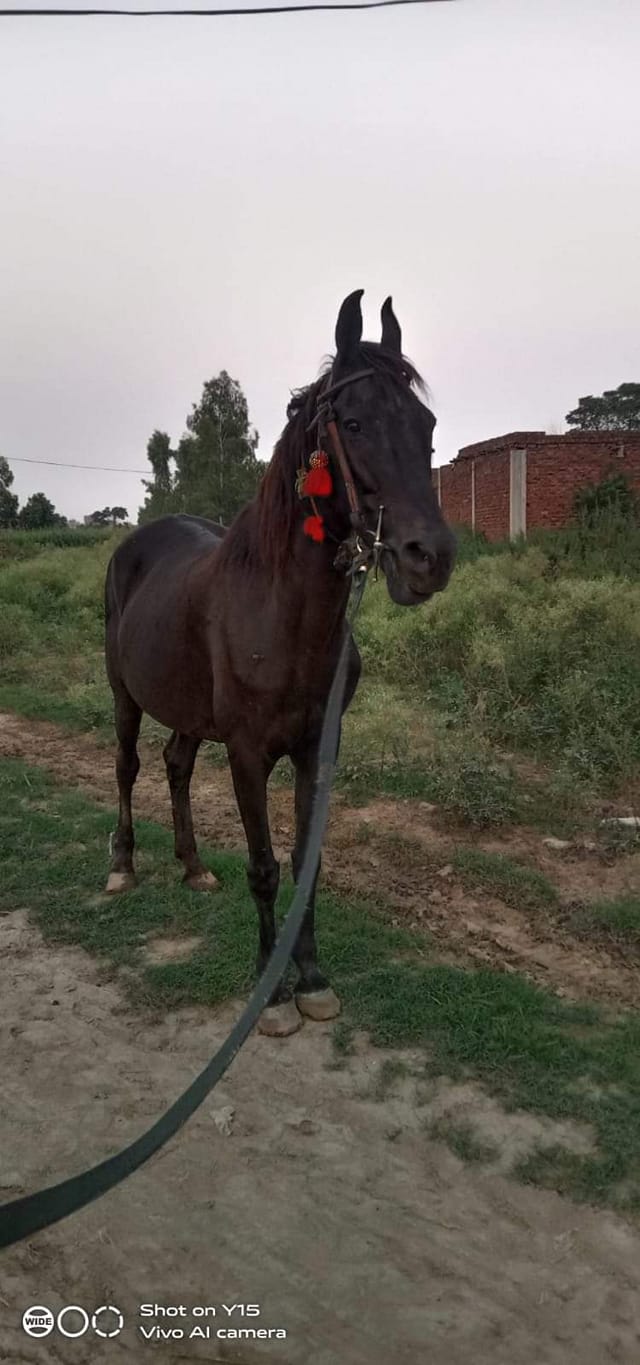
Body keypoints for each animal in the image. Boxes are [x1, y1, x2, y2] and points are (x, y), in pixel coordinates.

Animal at [104, 290, 456, 1036]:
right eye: (353, 421)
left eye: (427, 423)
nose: (429, 558)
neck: (286, 615)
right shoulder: (247, 752)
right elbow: (264, 866)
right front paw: (270, 990)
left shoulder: (316, 749)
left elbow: (303, 864)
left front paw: (312, 977)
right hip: (124, 693)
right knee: (128, 766)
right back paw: (122, 865)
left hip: (188, 709)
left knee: (176, 766)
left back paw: (192, 866)